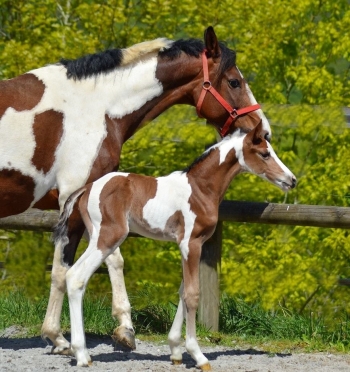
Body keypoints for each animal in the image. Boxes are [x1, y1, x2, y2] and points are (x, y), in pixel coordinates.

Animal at [54, 122, 296, 370]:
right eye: (265, 153)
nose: (291, 180)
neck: (199, 190)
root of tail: (88, 187)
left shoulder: (186, 246)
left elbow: (182, 291)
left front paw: (175, 350)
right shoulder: (192, 243)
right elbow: (192, 294)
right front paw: (198, 355)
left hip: (95, 237)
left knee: (71, 275)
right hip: (108, 238)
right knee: (77, 277)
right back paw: (82, 354)